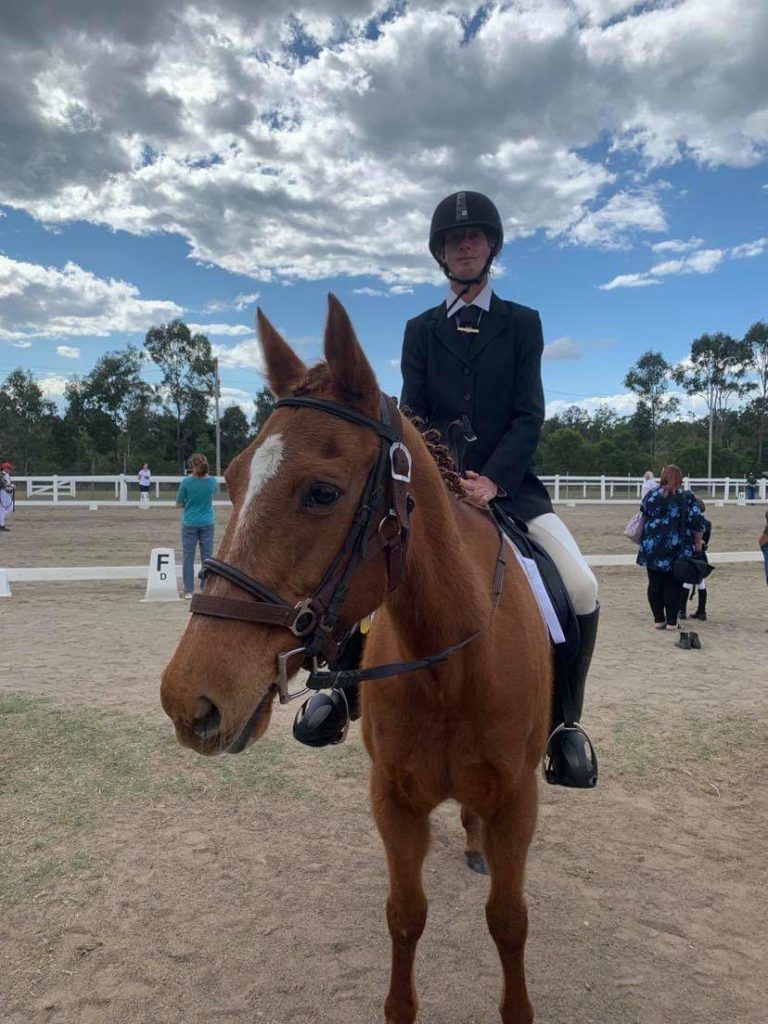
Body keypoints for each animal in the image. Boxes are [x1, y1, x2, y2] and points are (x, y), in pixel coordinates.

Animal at [160, 295, 552, 1023]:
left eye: (322, 492)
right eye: (230, 479)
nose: (187, 700)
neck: (451, 667)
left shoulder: (518, 802)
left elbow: (509, 921)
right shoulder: (392, 801)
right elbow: (404, 915)